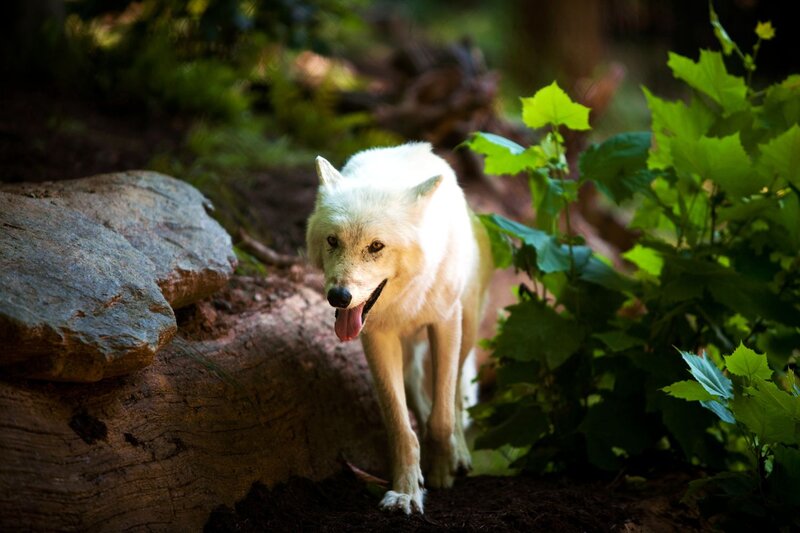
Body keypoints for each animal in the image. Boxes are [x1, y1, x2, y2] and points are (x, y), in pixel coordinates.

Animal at [306, 142, 493, 514]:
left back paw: (459, 454)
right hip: (407, 351)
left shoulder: (445, 324)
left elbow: (443, 416)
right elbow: (401, 426)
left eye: (376, 246)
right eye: (333, 241)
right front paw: (406, 491)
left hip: (465, 329)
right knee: (416, 386)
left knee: (454, 396)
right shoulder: (377, 338)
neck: (405, 298)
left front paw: (441, 472)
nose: (338, 297)